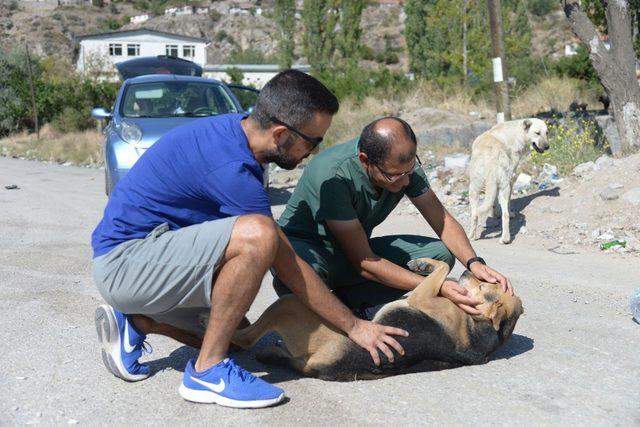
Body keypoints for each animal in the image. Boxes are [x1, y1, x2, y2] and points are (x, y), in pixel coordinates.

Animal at [232, 260, 524, 382]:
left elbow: (443, 267)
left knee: (247, 339)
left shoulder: (422, 295)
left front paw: (425, 264)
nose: (468, 271)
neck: (478, 326)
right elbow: (442, 268)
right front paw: (422, 264)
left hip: (289, 303)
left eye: (483, 286)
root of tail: (321, 368)